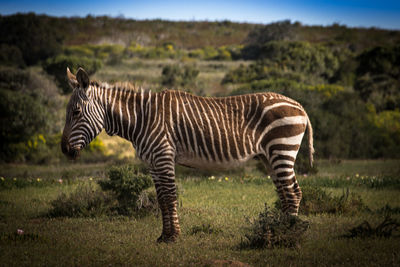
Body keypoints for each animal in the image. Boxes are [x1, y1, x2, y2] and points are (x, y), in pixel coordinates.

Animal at [61, 68, 312, 244]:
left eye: (76, 112)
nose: (64, 150)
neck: (141, 118)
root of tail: (299, 105)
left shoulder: (163, 156)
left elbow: (170, 196)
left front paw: (173, 237)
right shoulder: (153, 162)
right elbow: (161, 199)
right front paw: (164, 236)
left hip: (282, 149)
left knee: (292, 193)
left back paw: (287, 236)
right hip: (270, 157)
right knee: (286, 192)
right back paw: (276, 231)